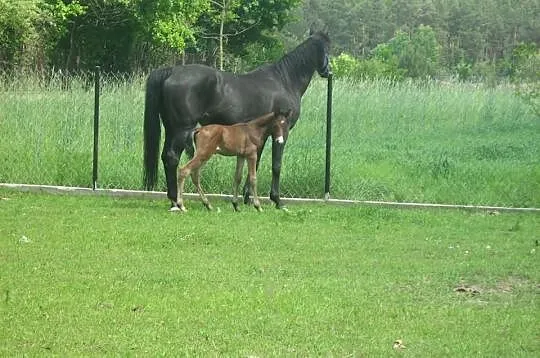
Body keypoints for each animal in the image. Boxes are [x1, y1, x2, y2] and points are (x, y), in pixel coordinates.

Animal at [143, 31, 330, 210]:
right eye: (327, 48)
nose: (328, 71)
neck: (285, 81)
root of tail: (172, 71)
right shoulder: (281, 132)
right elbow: (276, 165)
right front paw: (277, 200)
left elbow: (255, 165)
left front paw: (247, 198)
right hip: (182, 129)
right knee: (172, 157)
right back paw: (177, 201)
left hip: (171, 128)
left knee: (166, 157)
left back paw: (173, 201)